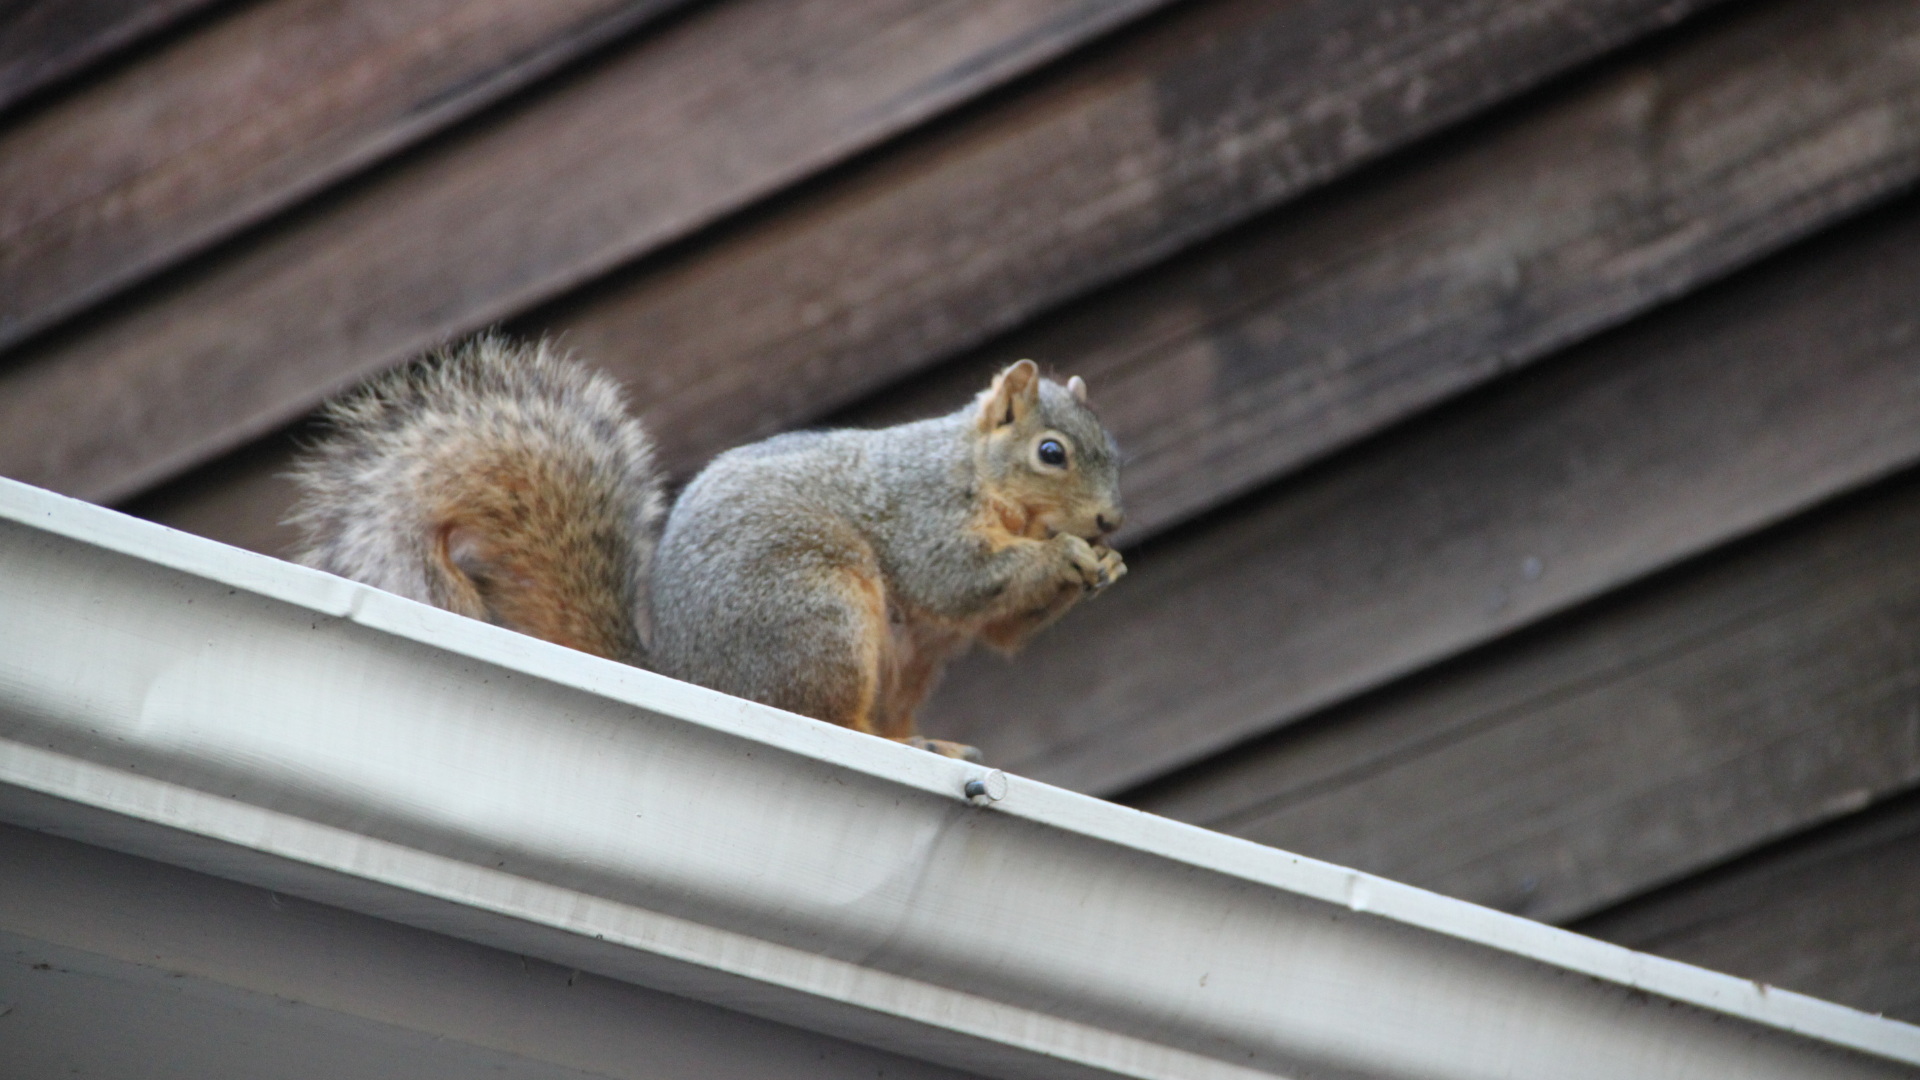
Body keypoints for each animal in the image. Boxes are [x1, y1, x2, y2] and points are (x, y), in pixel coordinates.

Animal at [287, 333, 1126, 760]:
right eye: (1052, 453)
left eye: (1114, 450)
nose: (1111, 522)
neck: (974, 472)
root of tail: (690, 676)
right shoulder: (921, 512)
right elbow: (959, 580)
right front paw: (1065, 557)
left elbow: (1001, 629)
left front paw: (1105, 567)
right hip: (818, 614)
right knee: (823, 714)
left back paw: (930, 745)